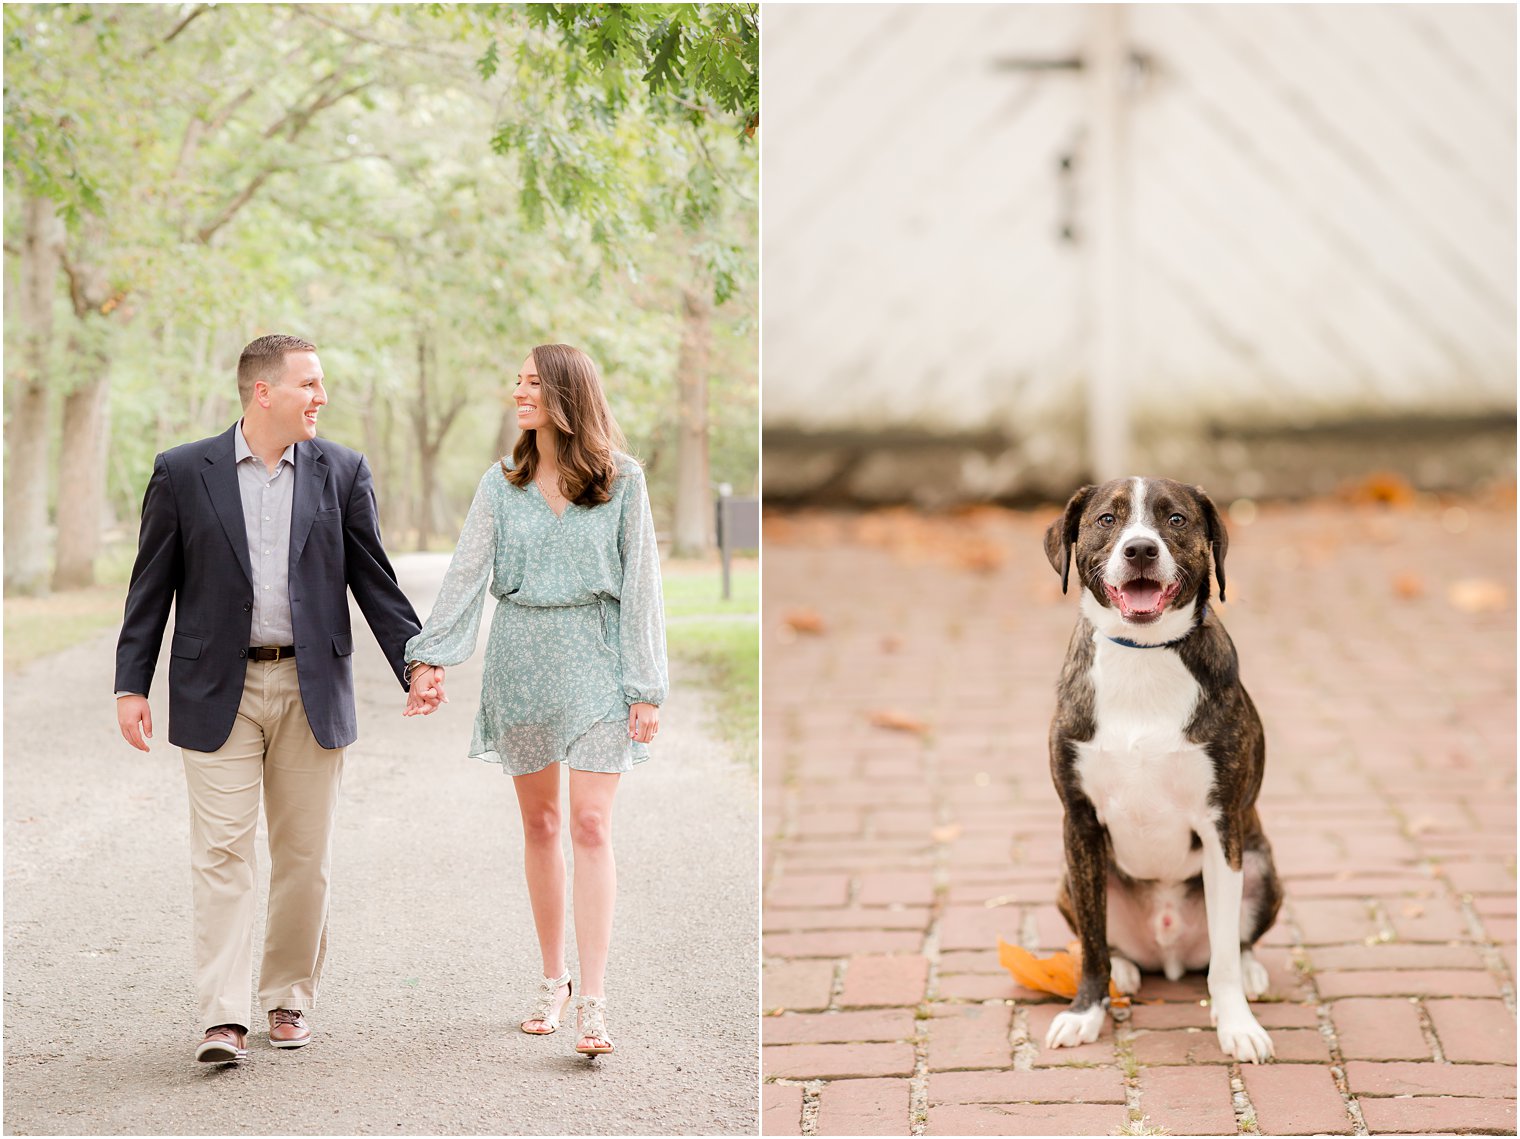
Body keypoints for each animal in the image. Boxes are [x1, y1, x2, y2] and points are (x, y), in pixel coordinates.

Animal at [1039, 474, 1276, 1064]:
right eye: (1107, 519)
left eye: (1175, 519)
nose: (1141, 549)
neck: (1143, 655)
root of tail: (1167, 952)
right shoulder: (1078, 823)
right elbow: (1091, 944)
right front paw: (1086, 1012)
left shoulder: (1221, 828)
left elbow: (1225, 955)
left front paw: (1237, 1023)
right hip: (1068, 877)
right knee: (1105, 939)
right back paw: (1124, 970)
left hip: (1261, 865)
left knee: (1235, 942)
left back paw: (1251, 971)